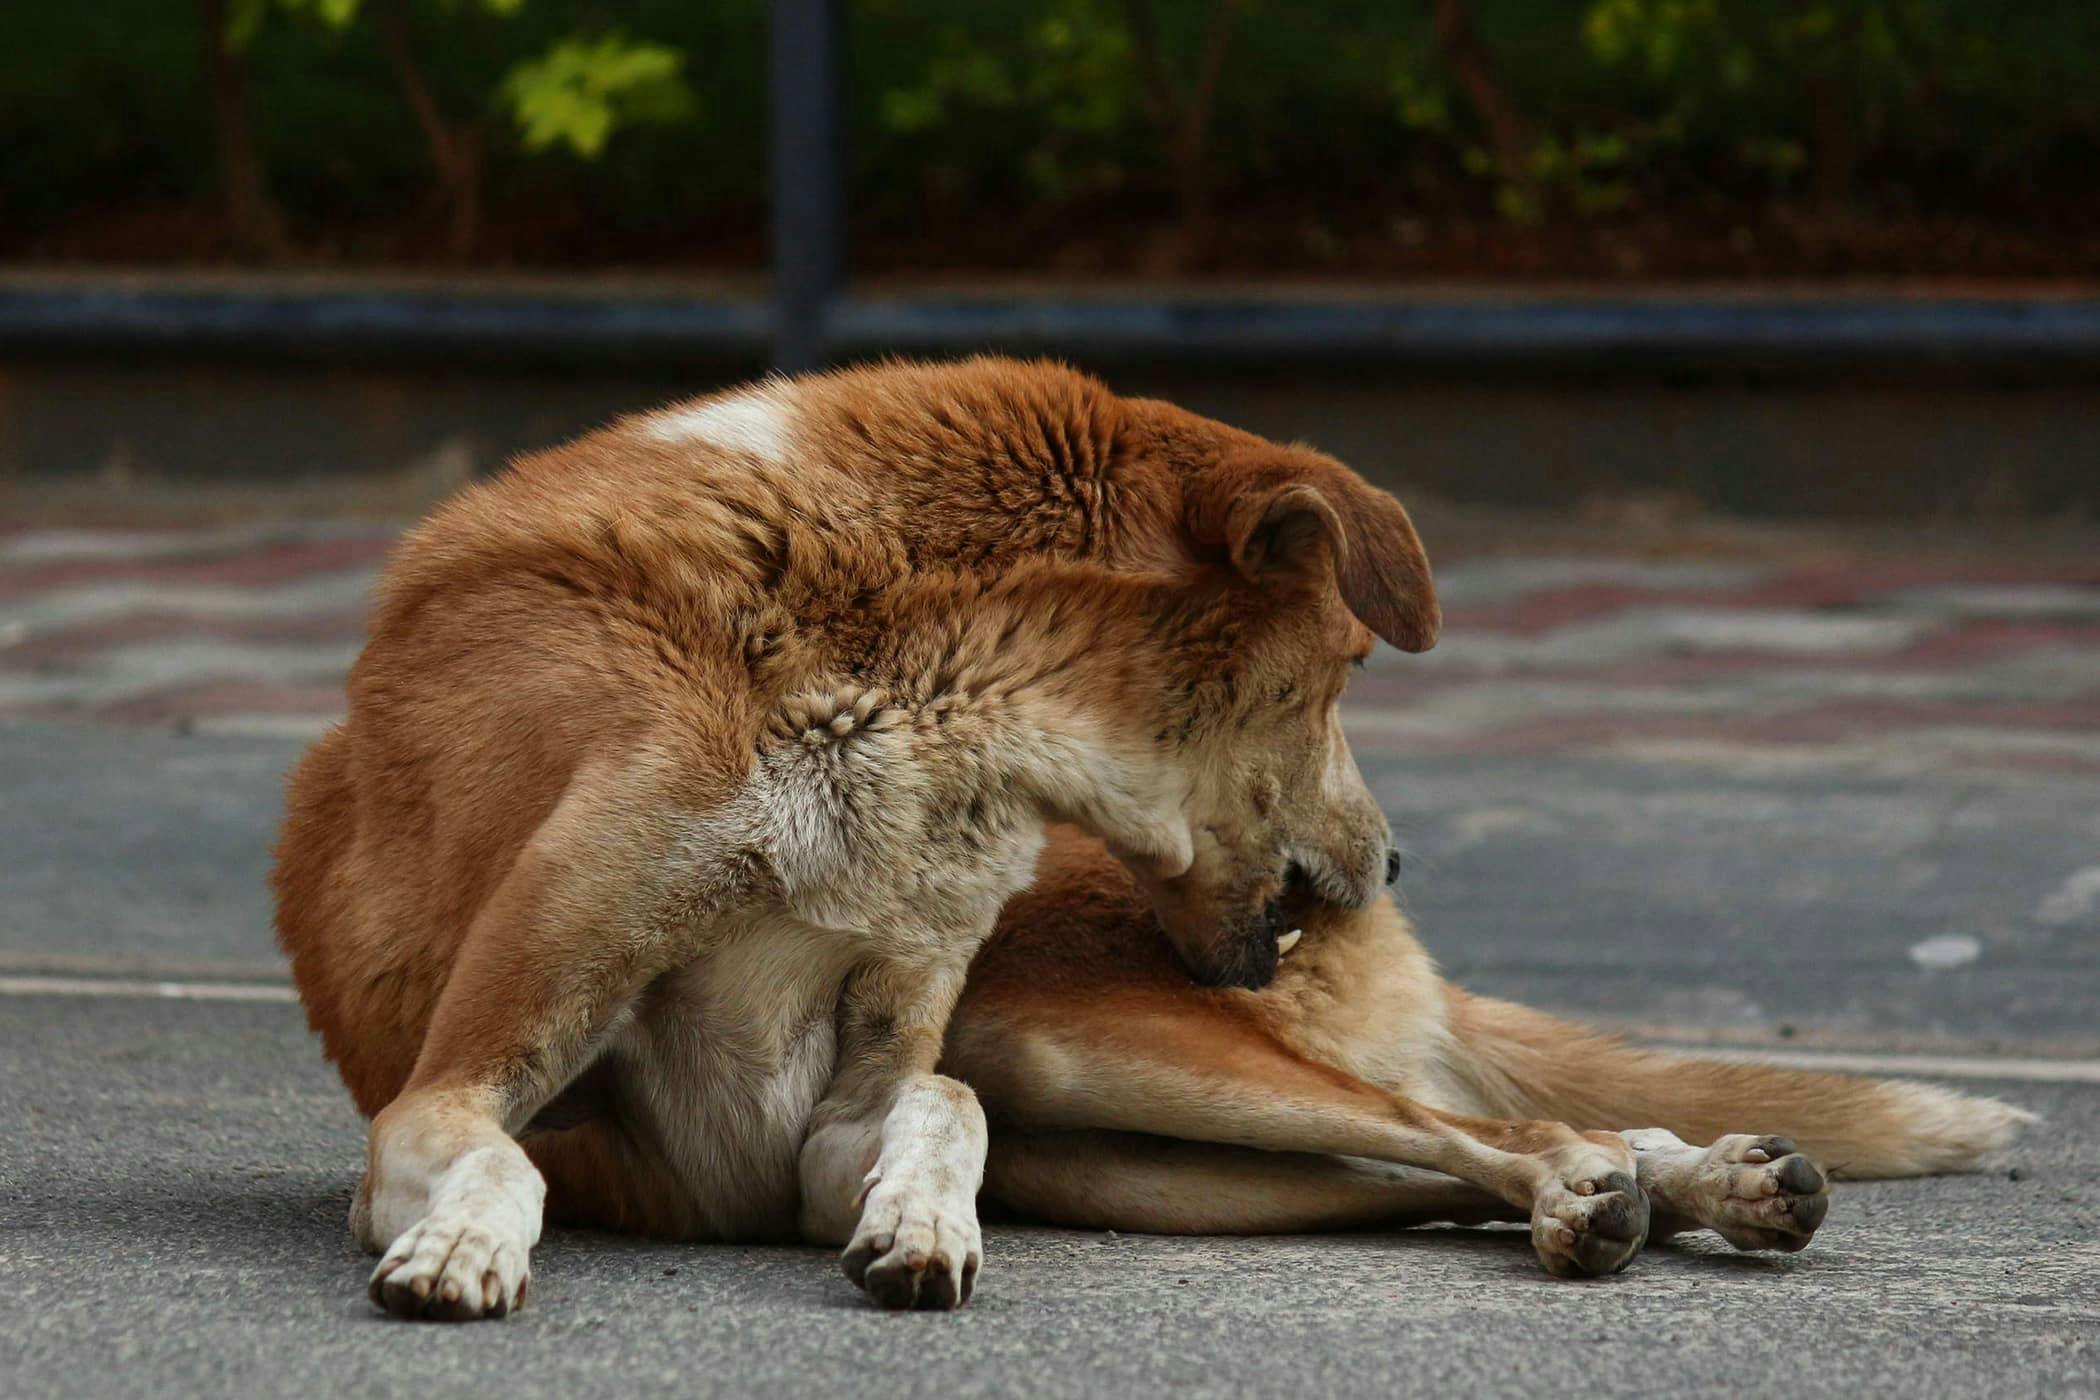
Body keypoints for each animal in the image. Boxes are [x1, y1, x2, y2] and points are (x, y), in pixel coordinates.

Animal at [275, 356, 1444, 1318]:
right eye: (1354, 666)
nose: (1395, 863)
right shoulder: (460, 1077)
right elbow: (505, 1159)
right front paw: (463, 1243)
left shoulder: (849, 1104)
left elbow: (944, 1101)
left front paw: (921, 1222)